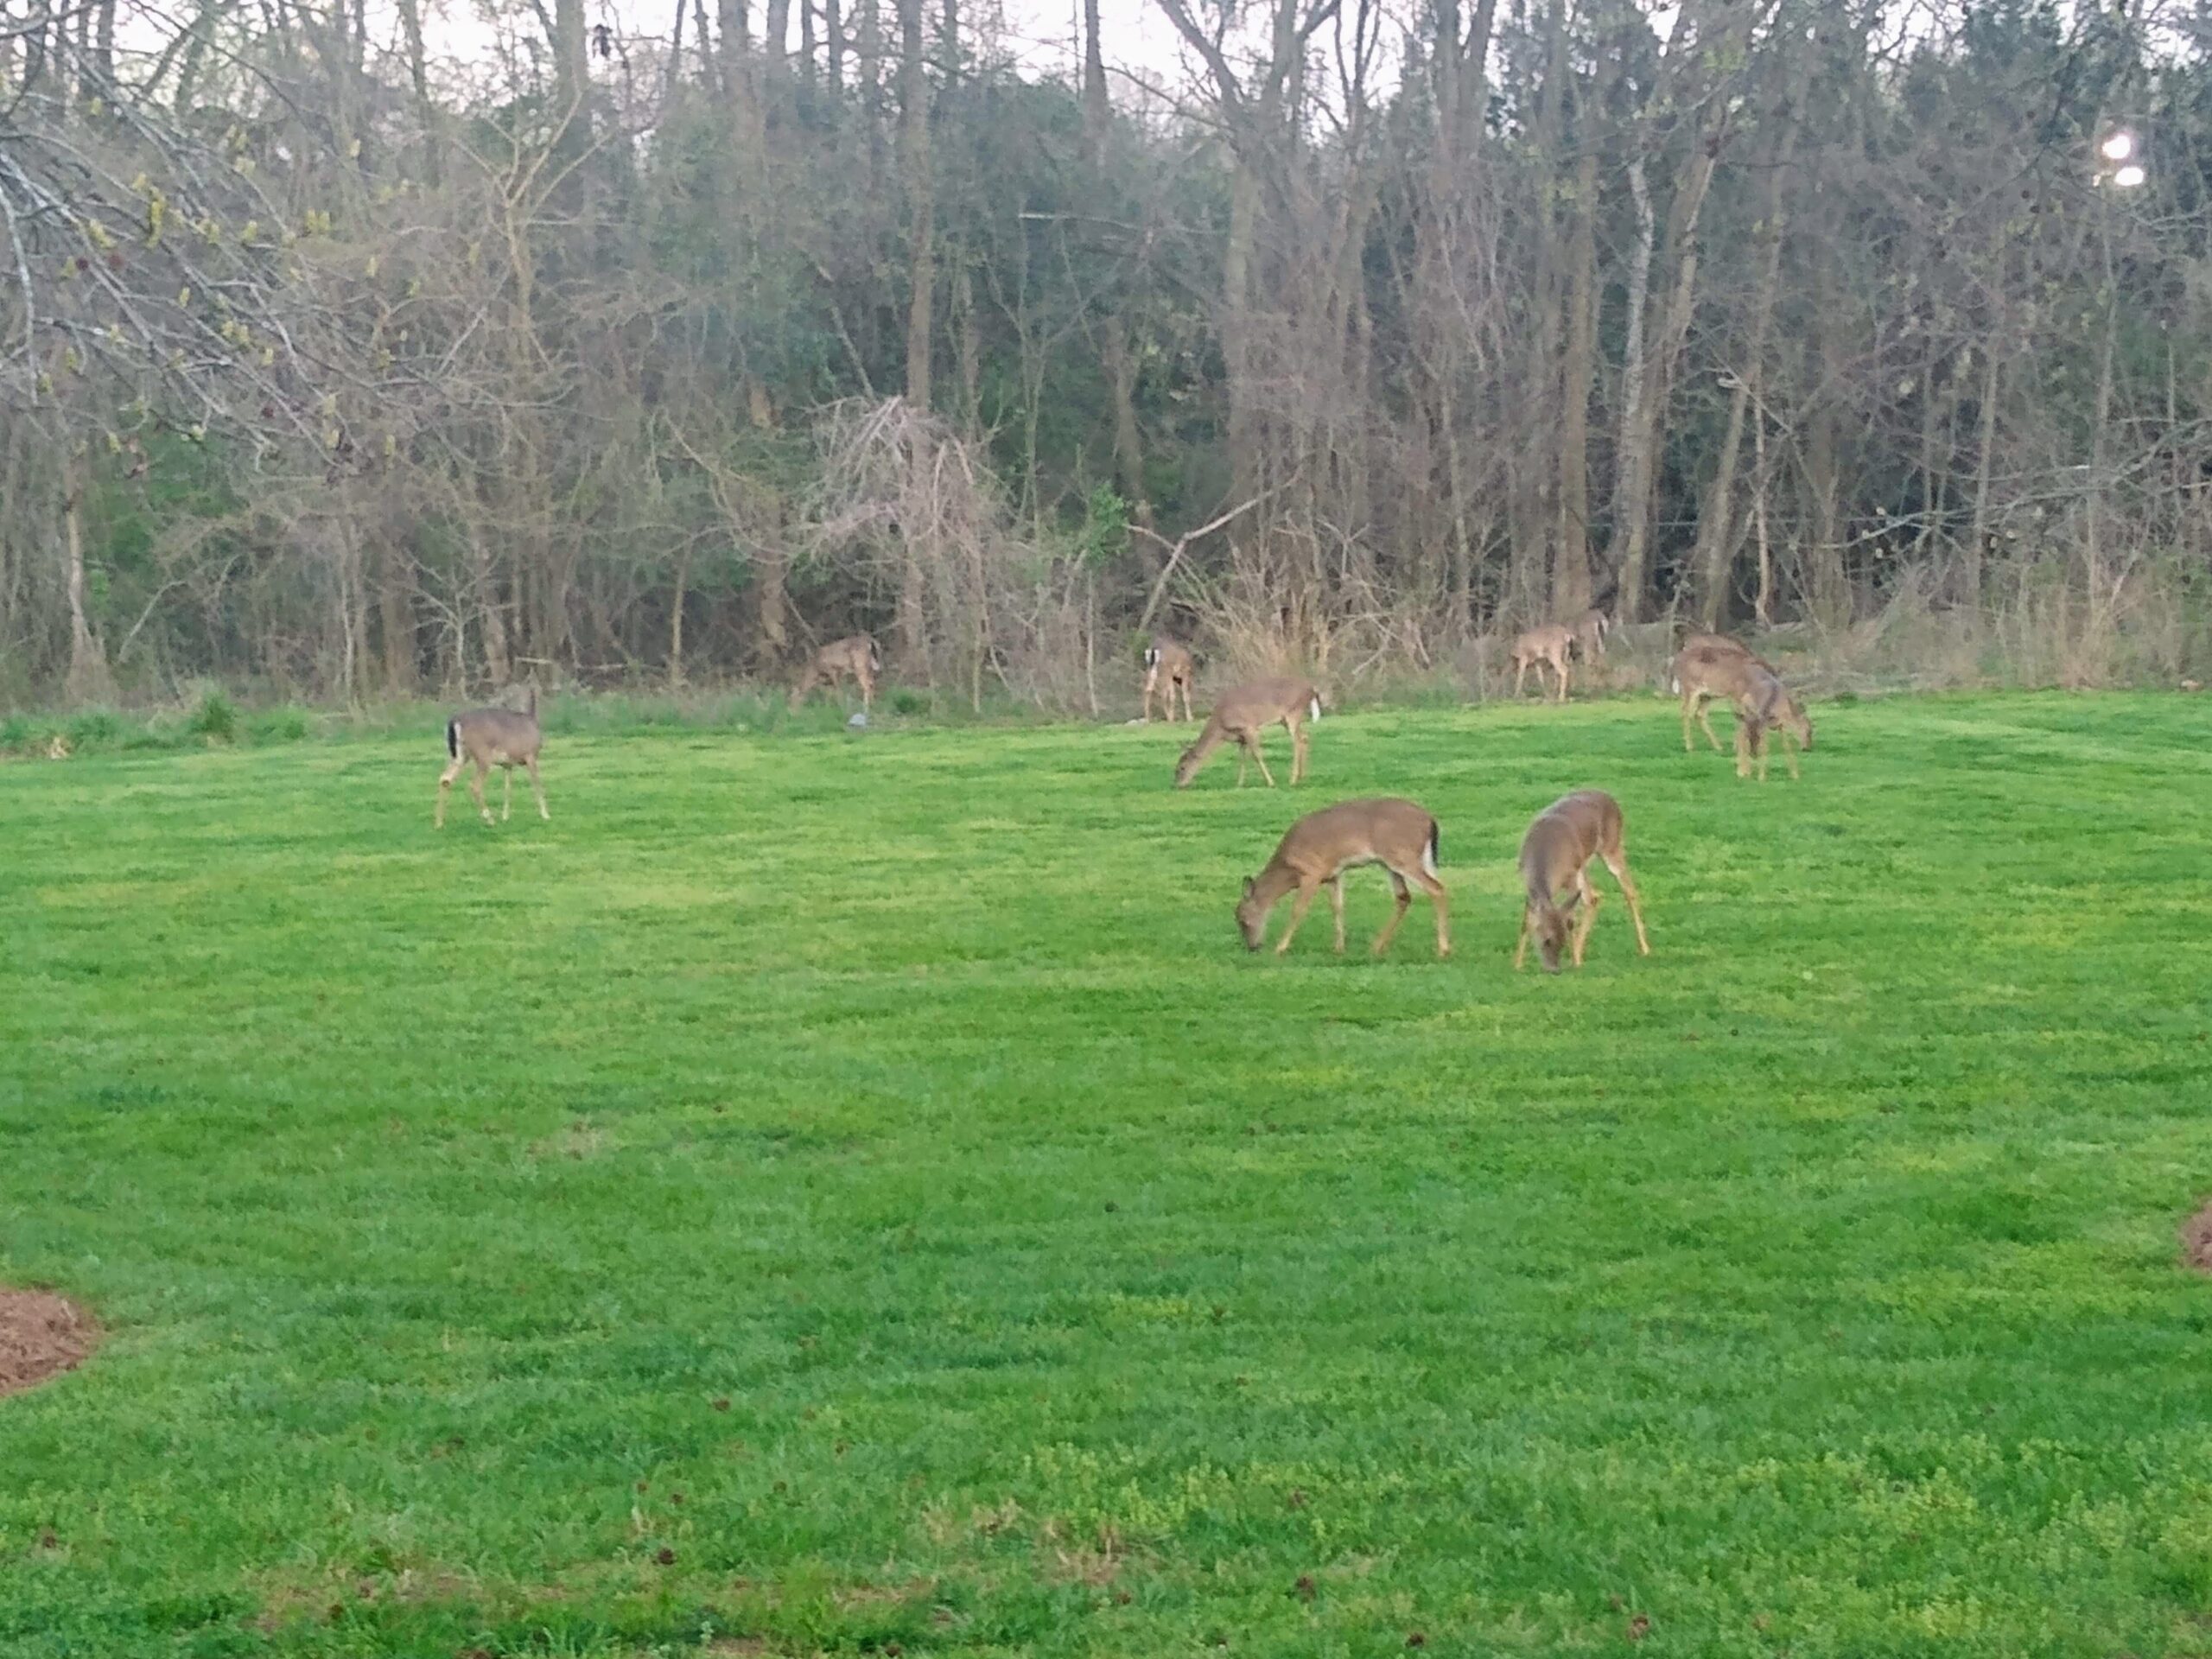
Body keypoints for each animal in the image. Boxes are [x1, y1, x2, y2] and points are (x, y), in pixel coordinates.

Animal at [437, 684, 547, 829]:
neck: (531, 720)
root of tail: (455, 721)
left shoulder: (507, 764)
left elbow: (507, 788)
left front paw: (505, 816)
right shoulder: (530, 756)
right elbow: (537, 784)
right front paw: (545, 814)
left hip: (459, 756)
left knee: (445, 779)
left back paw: (439, 823)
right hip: (482, 756)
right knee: (475, 785)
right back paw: (490, 819)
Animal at [1174, 676, 1322, 789]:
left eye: (1182, 767)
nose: (1179, 785)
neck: (1221, 728)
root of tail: (1313, 688)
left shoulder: (1249, 728)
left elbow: (1257, 755)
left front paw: (1270, 783)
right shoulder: (1241, 737)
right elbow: (1242, 757)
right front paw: (1239, 784)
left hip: (1293, 712)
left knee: (1297, 741)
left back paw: (1292, 780)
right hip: (1287, 720)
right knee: (1304, 736)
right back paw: (1301, 776)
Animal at [1237, 797, 1451, 959]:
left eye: (1242, 919)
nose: (1252, 947)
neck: (1288, 868)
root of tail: (1431, 820)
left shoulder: (1311, 873)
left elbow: (1298, 910)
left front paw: (1280, 948)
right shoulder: (1333, 874)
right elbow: (1337, 907)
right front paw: (1339, 948)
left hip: (1402, 856)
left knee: (1436, 888)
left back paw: (1443, 950)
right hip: (1391, 863)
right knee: (1404, 897)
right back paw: (1376, 947)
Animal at [1514, 790, 1651, 974]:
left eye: (1563, 940)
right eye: (1547, 940)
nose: (1555, 970)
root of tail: (1610, 798)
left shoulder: (1571, 877)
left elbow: (1571, 920)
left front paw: (1575, 960)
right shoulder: (1527, 882)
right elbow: (1526, 921)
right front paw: (1517, 965)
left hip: (1612, 847)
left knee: (1628, 891)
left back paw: (1644, 949)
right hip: (1584, 867)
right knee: (1594, 897)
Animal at [1670, 636, 1813, 778]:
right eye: (1808, 729)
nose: (1807, 747)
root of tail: (1675, 661)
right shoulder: (1738, 695)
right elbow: (1740, 722)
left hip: (1706, 695)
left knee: (1699, 714)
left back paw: (1718, 746)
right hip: (1689, 687)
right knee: (1685, 712)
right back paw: (1689, 746)